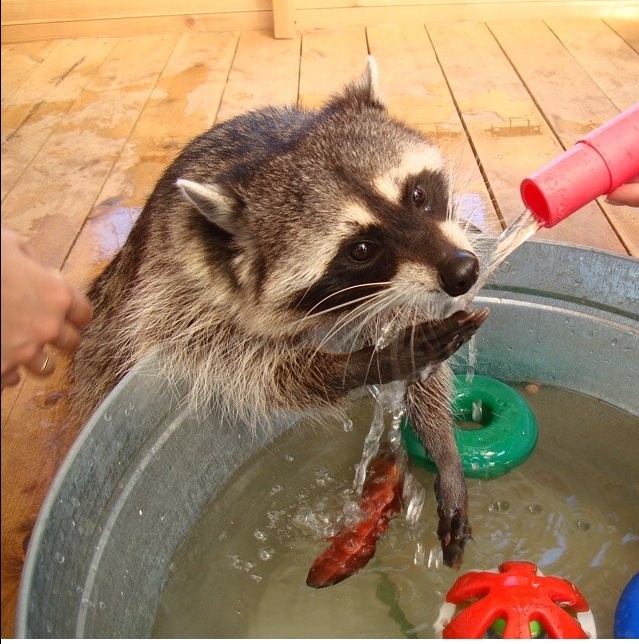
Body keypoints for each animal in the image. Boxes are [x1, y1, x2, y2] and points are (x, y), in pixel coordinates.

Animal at [70, 57, 488, 568]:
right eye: (362, 249)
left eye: (417, 195)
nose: (463, 271)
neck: (273, 148)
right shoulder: (179, 298)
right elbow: (254, 373)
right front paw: (368, 362)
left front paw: (443, 446)